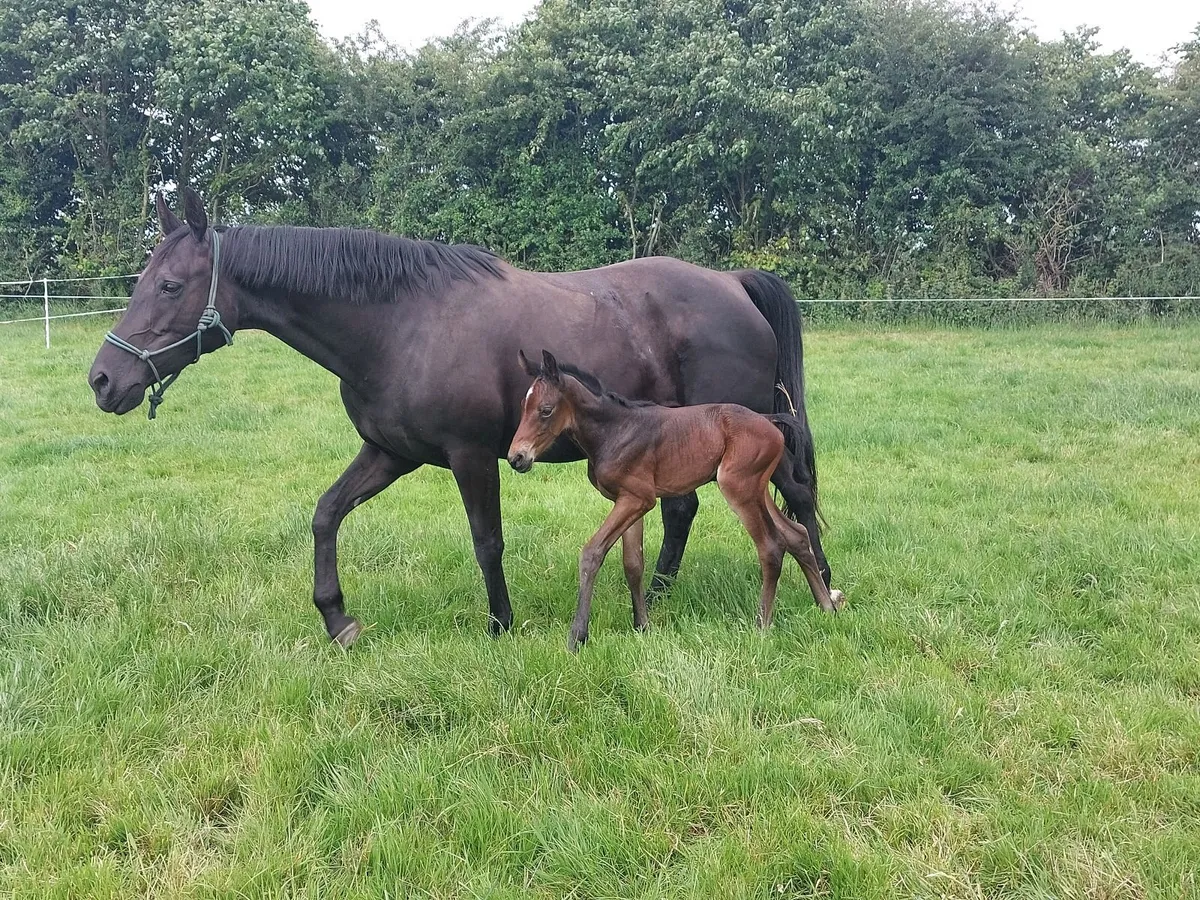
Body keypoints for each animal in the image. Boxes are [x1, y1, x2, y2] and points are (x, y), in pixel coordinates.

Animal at [508, 350, 843, 651]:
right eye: (523, 406)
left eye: (546, 410)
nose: (516, 458)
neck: (614, 430)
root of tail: (769, 419)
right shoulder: (628, 501)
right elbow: (633, 563)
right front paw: (642, 626)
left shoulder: (638, 499)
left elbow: (592, 553)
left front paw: (577, 636)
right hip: (757, 487)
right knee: (796, 534)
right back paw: (826, 606)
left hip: (739, 487)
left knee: (772, 545)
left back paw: (763, 624)